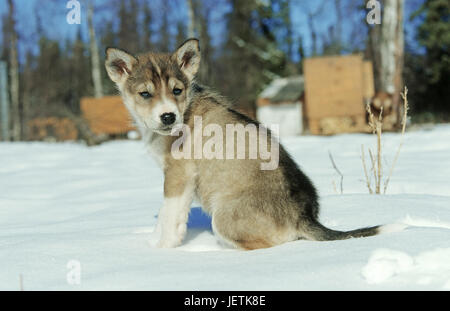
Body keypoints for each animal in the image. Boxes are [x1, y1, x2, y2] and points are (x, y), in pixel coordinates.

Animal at [104, 39, 386, 250]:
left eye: (176, 90)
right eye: (145, 94)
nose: (168, 117)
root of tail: (304, 216)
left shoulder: (178, 175)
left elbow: (170, 215)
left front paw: (163, 250)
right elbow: (163, 215)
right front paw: (152, 243)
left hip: (223, 217)